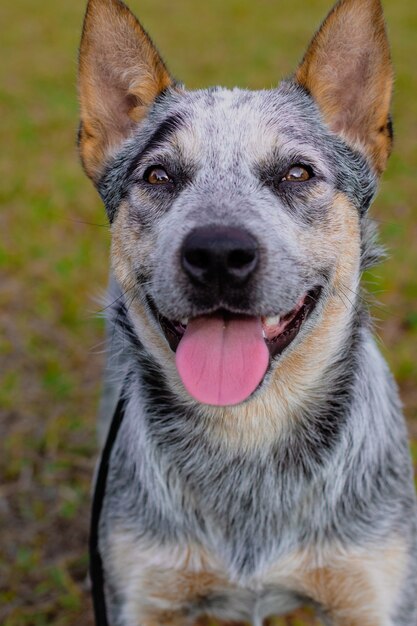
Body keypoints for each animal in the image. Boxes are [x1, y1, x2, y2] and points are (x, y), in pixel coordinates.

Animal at [77, 0, 416, 620]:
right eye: (158, 175)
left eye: (297, 173)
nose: (218, 253)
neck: (248, 437)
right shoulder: (141, 591)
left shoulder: (375, 585)